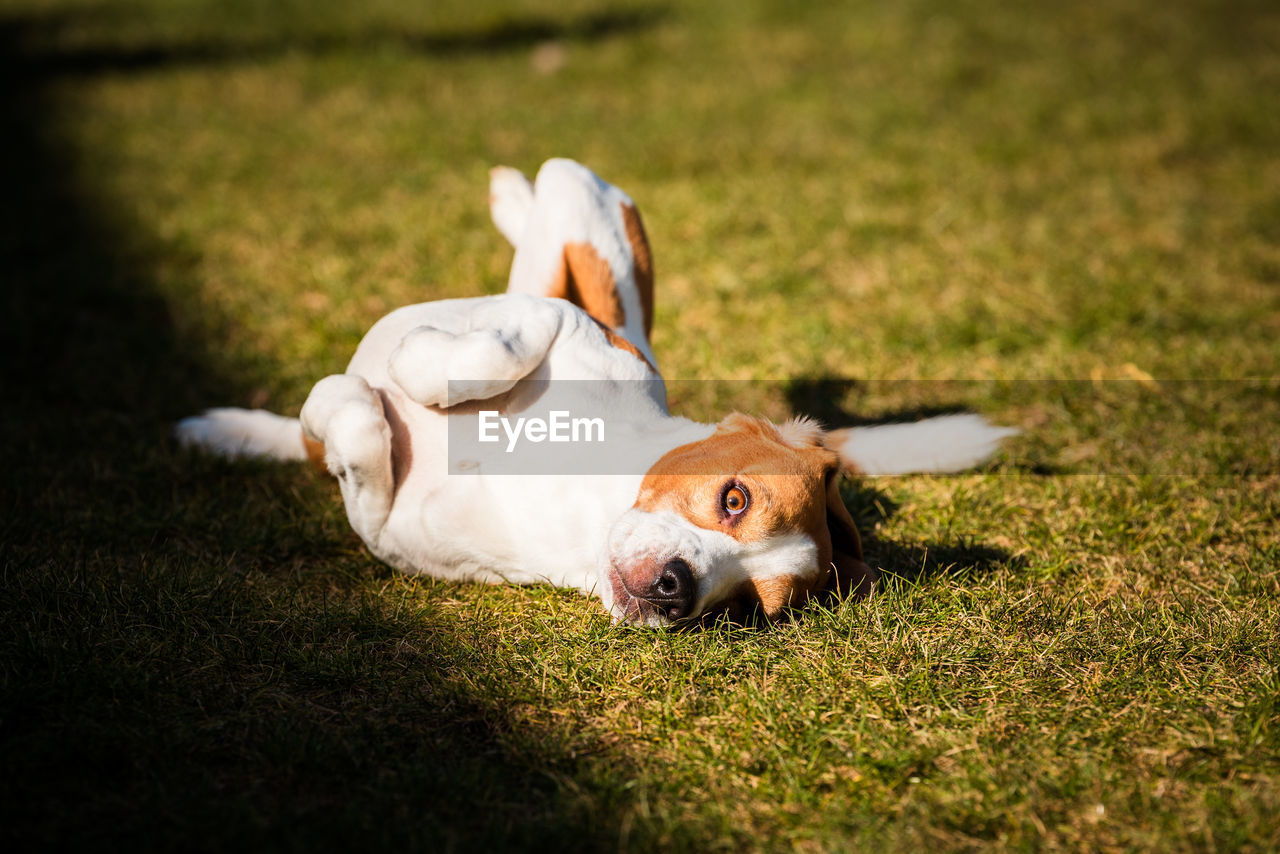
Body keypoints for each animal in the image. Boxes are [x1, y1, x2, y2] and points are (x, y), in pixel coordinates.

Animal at [177, 161, 1018, 627]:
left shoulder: (383, 529)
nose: (677, 591)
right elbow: (489, 345)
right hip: (584, 209)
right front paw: (420, 365)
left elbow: (357, 432)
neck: (575, 497)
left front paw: (344, 408)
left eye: (747, 606)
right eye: (736, 498)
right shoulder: (563, 327)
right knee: (554, 204)